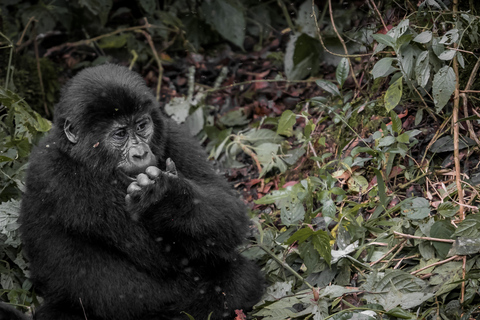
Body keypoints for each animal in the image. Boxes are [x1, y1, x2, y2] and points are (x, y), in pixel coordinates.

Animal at [0, 64, 262, 320]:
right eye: (120, 134)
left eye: (141, 126)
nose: (141, 153)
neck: (81, 156)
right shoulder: (57, 176)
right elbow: (157, 255)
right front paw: (161, 199)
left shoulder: (172, 133)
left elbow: (228, 213)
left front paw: (168, 198)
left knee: (240, 277)